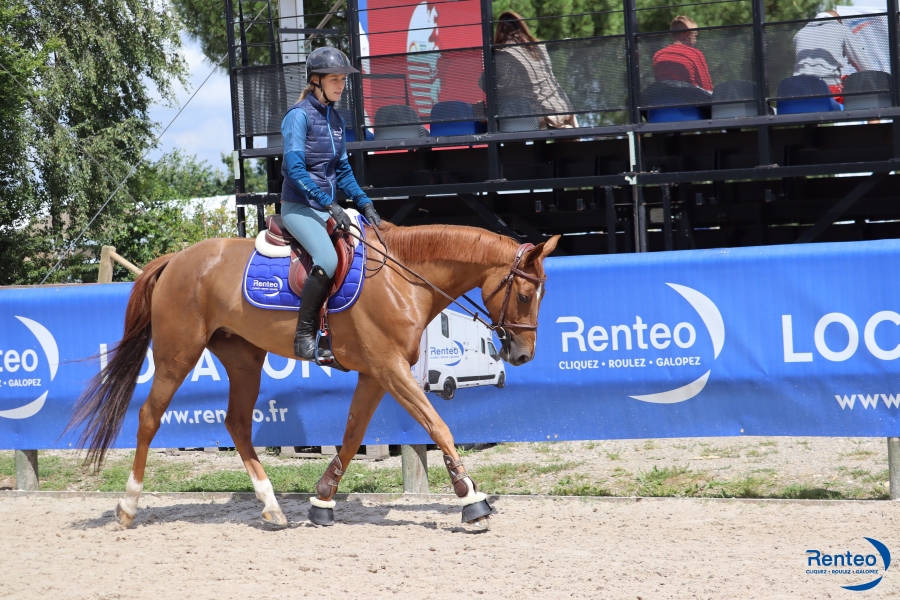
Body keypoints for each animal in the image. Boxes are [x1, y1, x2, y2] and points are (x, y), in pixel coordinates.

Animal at [70, 223, 560, 528]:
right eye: (525, 293)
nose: (523, 354)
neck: (404, 280)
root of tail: (175, 261)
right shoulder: (389, 368)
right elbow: (437, 425)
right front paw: (469, 497)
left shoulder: (375, 374)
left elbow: (351, 433)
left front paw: (323, 499)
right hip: (178, 353)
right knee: (149, 417)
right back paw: (128, 506)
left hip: (243, 359)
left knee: (237, 423)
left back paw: (271, 507)